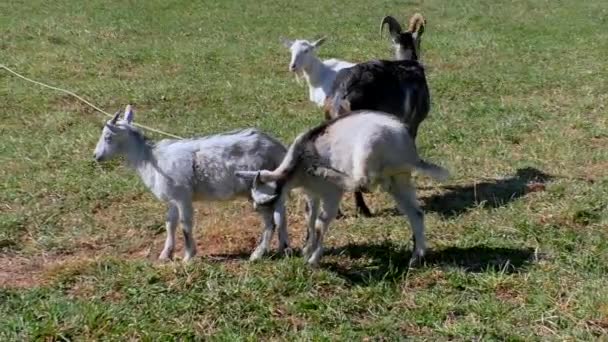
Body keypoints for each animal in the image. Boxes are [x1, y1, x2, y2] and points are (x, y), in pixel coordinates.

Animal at [92, 105, 290, 260]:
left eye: (108, 136)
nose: (96, 156)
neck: (151, 159)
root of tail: (278, 148)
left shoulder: (182, 196)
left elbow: (185, 224)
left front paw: (188, 256)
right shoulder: (172, 198)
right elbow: (170, 223)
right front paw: (165, 254)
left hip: (257, 189)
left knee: (270, 221)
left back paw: (258, 254)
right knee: (280, 215)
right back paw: (284, 248)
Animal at [235, 111, 448, 266]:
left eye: (270, 202)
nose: (268, 221)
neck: (300, 162)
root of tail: (408, 150)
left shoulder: (331, 194)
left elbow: (321, 222)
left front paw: (313, 259)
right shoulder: (312, 194)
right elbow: (310, 218)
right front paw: (307, 249)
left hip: (366, 152)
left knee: (361, 182)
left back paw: (324, 170)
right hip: (399, 181)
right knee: (416, 213)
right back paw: (416, 257)